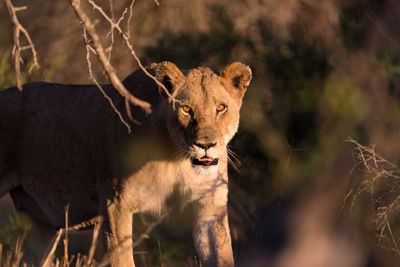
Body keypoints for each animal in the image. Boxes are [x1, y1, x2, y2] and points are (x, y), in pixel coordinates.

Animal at [0, 61, 250, 266]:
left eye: (221, 108)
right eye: (186, 109)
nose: (206, 144)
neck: (176, 158)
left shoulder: (210, 209)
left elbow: (222, 255)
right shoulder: (115, 203)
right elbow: (123, 259)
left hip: (41, 226)